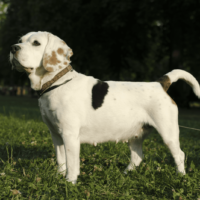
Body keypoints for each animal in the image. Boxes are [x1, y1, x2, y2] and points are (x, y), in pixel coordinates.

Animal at [9, 30, 200, 183]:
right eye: (20, 39)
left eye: (36, 43)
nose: (13, 48)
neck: (56, 82)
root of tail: (159, 83)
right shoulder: (56, 135)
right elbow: (61, 160)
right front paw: (58, 176)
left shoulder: (70, 136)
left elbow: (72, 164)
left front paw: (69, 183)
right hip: (135, 135)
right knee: (137, 157)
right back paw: (125, 174)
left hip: (168, 133)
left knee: (179, 155)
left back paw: (181, 177)